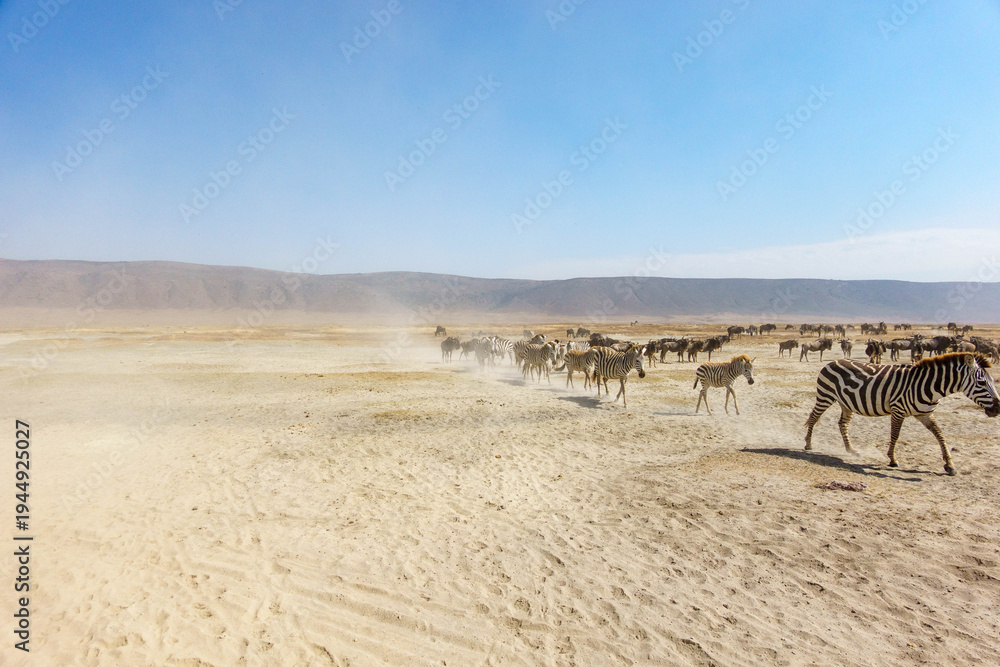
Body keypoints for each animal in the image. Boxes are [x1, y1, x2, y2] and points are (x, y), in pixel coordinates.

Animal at [804, 353, 1000, 475]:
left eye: (992, 381)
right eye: (982, 383)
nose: (998, 408)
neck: (929, 386)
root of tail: (831, 362)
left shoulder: (925, 414)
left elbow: (940, 435)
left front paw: (949, 464)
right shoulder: (898, 410)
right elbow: (895, 435)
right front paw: (892, 459)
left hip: (846, 403)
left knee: (842, 424)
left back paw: (851, 449)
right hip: (825, 395)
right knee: (813, 417)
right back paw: (808, 444)